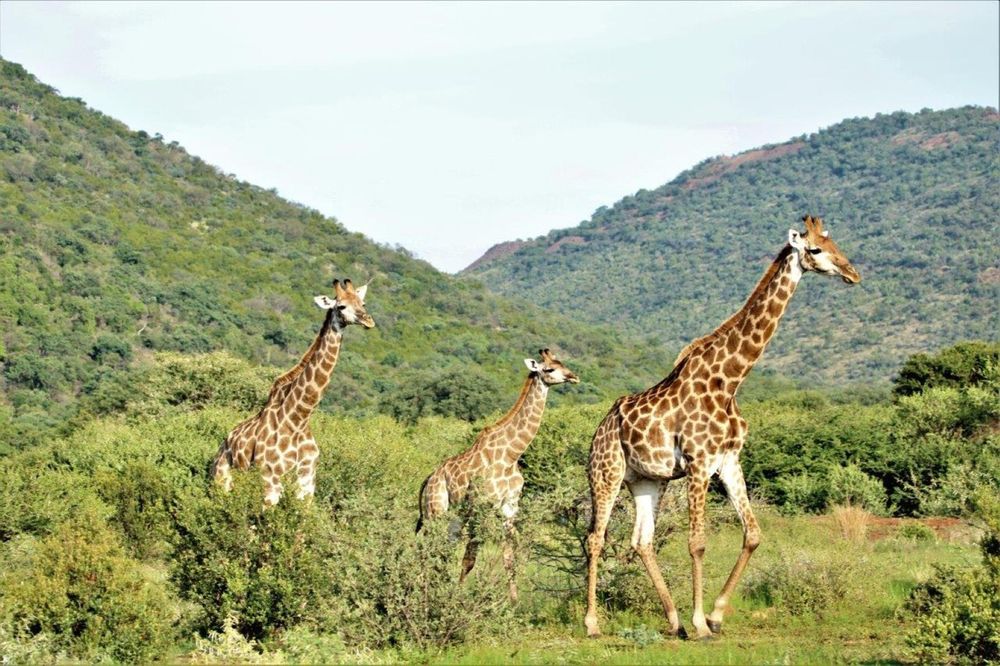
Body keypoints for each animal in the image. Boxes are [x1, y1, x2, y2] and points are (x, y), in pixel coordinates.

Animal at [210, 278, 375, 506]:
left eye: (363, 303)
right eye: (341, 306)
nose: (368, 321)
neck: (299, 419)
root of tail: (221, 446)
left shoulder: (307, 481)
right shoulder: (270, 478)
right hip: (223, 481)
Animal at [417, 348, 580, 601]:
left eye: (563, 364)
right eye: (549, 369)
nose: (574, 377)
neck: (511, 455)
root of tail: (427, 481)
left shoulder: (509, 507)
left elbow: (509, 558)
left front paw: (513, 603)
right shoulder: (481, 505)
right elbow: (469, 559)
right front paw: (456, 599)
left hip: (453, 517)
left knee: (442, 551)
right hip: (434, 511)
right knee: (427, 551)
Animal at [583, 216, 861, 640]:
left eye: (835, 244)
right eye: (815, 249)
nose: (852, 273)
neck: (730, 381)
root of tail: (599, 430)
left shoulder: (728, 461)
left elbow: (754, 533)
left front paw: (714, 615)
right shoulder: (698, 462)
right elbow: (697, 543)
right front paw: (702, 622)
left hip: (648, 480)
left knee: (642, 541)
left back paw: (674, 620)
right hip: (607, 474)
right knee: (595, 538)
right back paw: (593, 623)